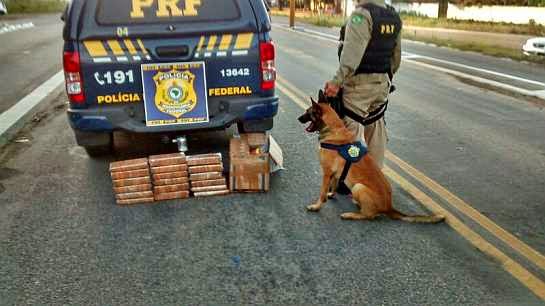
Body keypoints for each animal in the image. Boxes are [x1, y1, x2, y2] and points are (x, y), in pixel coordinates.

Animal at [300, 91, 444, 222]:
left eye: (308, 112)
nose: (298, 118)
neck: (334, 129)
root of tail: (389, 207)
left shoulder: (326, 173)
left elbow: (322, 193)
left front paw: (316, 206)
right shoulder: (335, 174)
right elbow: (334, 186)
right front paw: (331, 194)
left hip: (359, 187)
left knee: (370, 216)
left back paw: (350, 215)